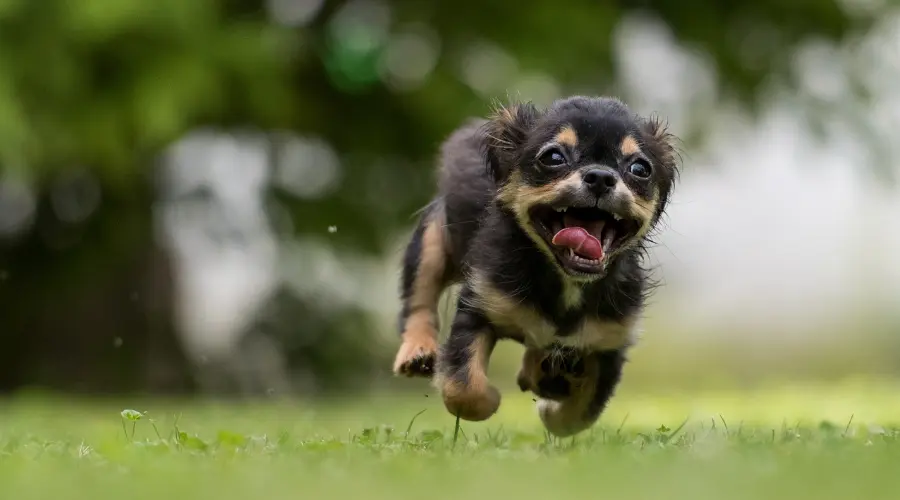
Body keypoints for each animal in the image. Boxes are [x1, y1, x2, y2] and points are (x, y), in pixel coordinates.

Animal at [390, 95, 680, 436]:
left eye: (640, 168)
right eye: (553, 157)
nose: (600, 176)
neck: (566, 281)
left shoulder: (609, 344)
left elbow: (577, 417)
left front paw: (550, 407)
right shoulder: (478, 307)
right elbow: (463, 389)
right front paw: (491, 399)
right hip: (432, 242)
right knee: (419, 300)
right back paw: (417, 351)